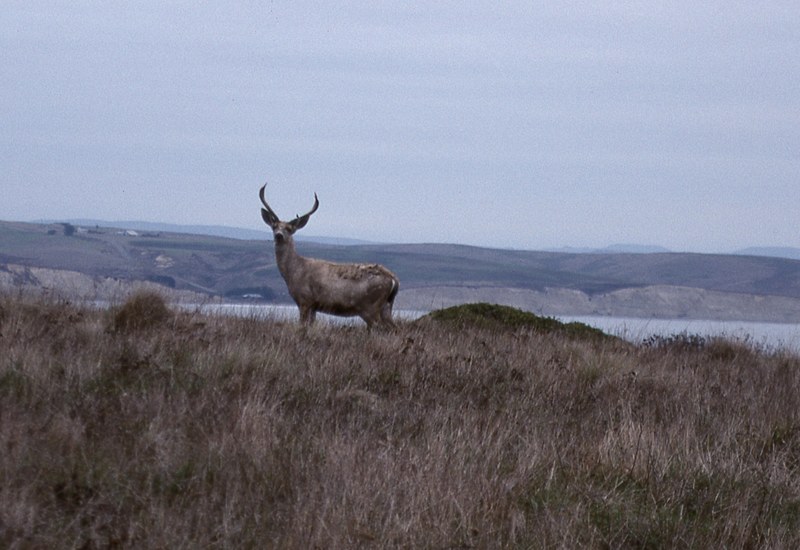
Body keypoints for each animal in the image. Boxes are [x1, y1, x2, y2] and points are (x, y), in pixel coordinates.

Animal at [259, 183, 400, 327]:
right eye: (274, 226)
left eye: (289, 229)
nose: (279, 235)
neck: (294, 272)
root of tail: (394, 280)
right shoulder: (314, 306)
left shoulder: (305, 299)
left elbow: (302, 326)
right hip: (386, 307)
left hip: (370, 306)